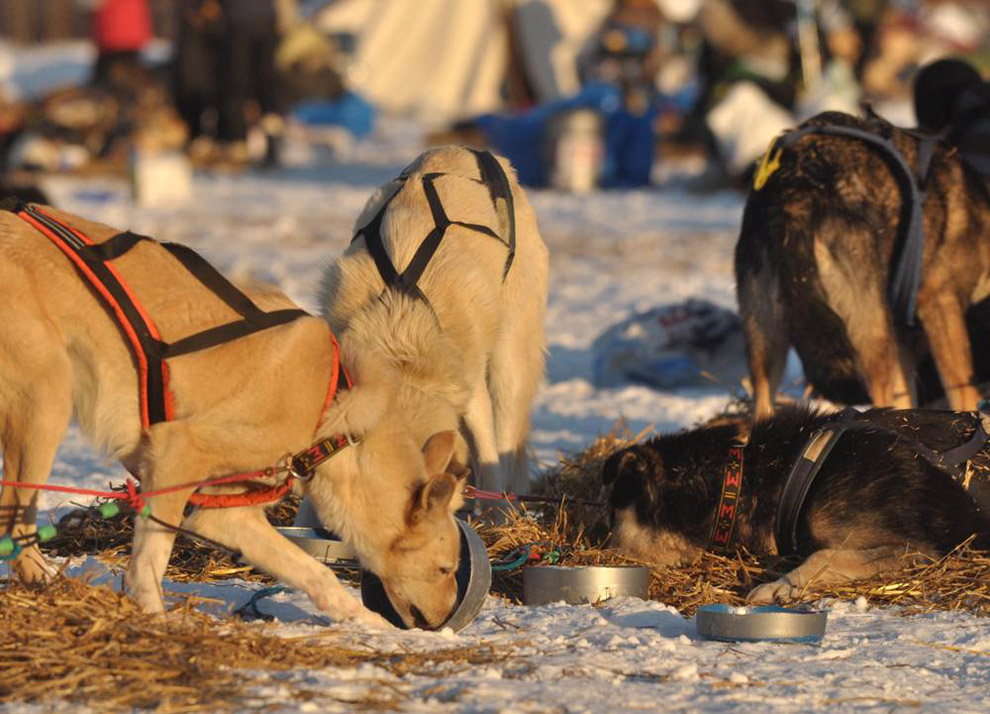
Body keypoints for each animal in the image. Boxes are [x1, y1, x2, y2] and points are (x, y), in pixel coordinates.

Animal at [320, 145, 548, 500]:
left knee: (507, 439)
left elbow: (489, 460)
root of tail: (474, 151)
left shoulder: (470, 390)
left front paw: (495, 513)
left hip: (508, 364)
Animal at [736, 110, 990, 418]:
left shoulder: (904, 343)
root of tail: (796, 194)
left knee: (761, 405)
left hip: (766, 342)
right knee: (879, 396)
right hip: (873, 337)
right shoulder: (939, 306)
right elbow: (963, 396)